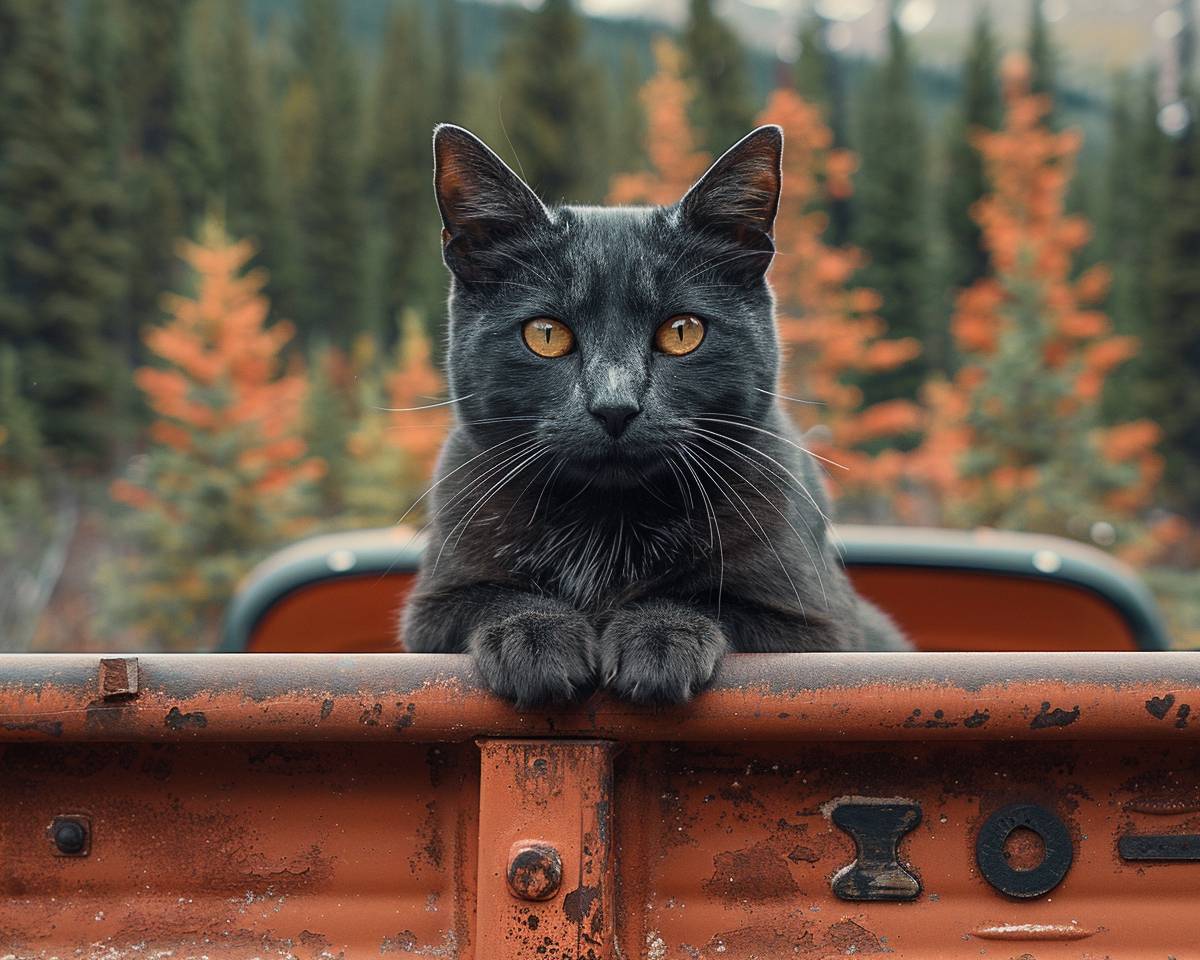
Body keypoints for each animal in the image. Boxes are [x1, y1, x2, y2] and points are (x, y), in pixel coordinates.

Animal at [403, 121, 907, 705]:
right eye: (546, 334)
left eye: (682, 331)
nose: (615, 405)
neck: (608, 520)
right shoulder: (430, 611)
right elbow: (486, 598)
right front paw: (533, 636)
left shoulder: (819, 628)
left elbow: (712, 603)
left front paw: (659, 636)